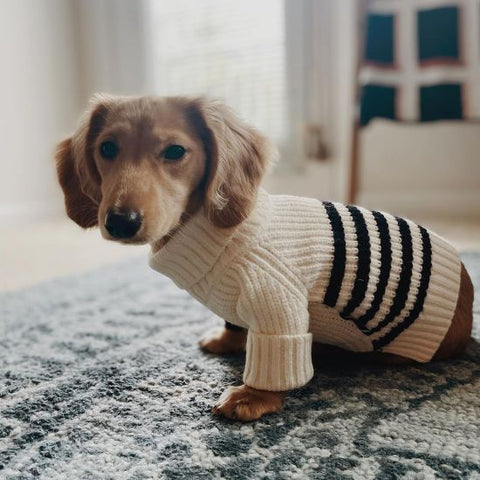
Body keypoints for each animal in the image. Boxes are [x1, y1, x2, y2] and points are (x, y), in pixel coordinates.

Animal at [56, 95, 472, 422]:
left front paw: (253, 396)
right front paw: (227, 340)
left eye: (175, 151)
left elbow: (276, 352)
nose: (120, 222)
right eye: (107, 148)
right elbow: (234, 324)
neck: (215, 231)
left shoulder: (278, 303)